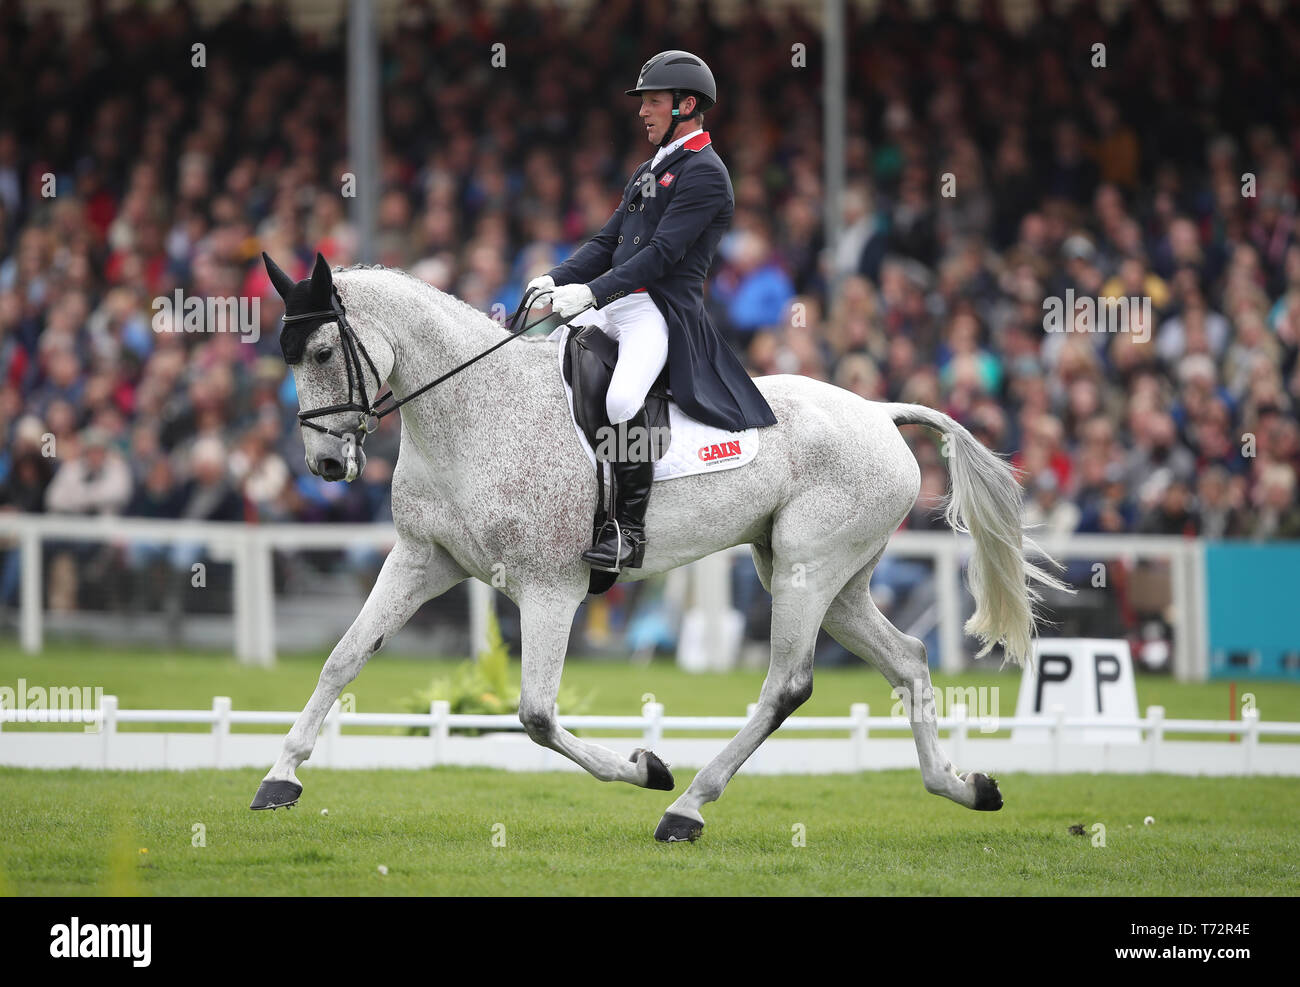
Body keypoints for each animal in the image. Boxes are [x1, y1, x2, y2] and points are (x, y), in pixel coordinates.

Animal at [250, 254, 1066, 842]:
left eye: (320, 350)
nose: (326, 466)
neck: (477, 413)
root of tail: (877, 410)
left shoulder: (551, 588)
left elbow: (536, 714)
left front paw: (645, 767)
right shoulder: (423, 559)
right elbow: (343, 659)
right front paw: (280, 776)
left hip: (809, 570)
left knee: (787, 684)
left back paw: (687, 807)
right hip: (829, 578)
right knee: (908, 660)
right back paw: (962, 786)